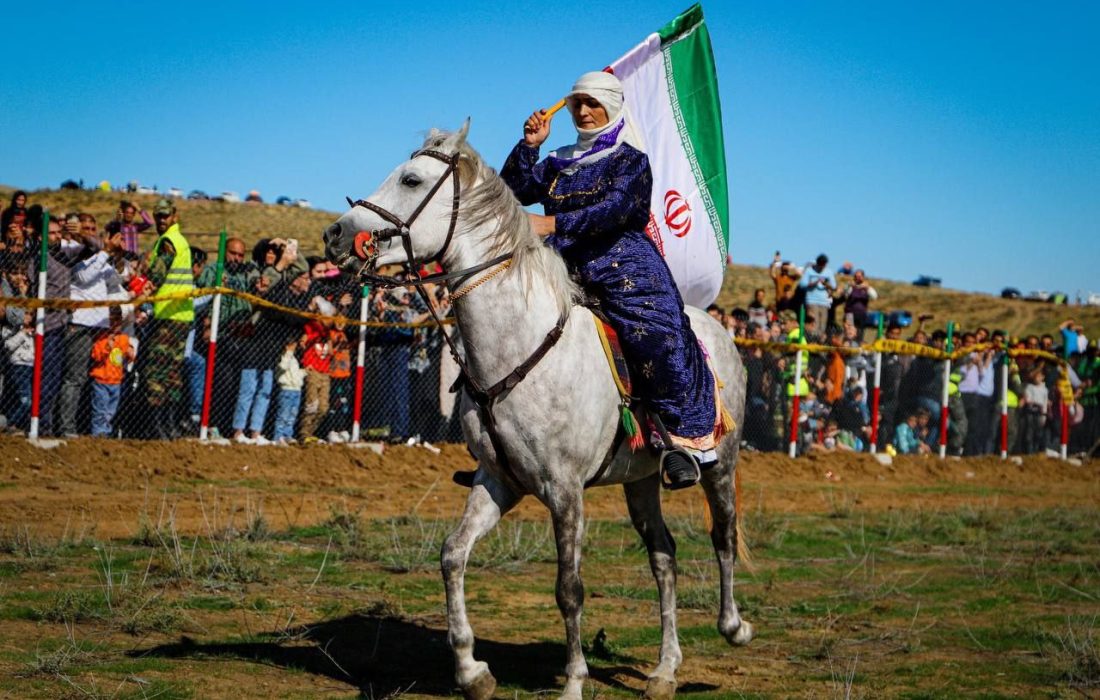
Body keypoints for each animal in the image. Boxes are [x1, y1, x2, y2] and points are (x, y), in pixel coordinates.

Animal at [325, 123, 752, 695]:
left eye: (411, 179)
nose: (336, 234)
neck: (519, 344)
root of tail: (719, 332)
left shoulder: (565, 490)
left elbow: (569, 588)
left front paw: (572, 681)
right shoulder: (497, 480)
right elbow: (451, 555)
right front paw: (472, 671)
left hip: (720, 465)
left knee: (722, 536)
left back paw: (733, 627)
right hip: (640, 479)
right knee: (664, 558)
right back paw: (664, 670)